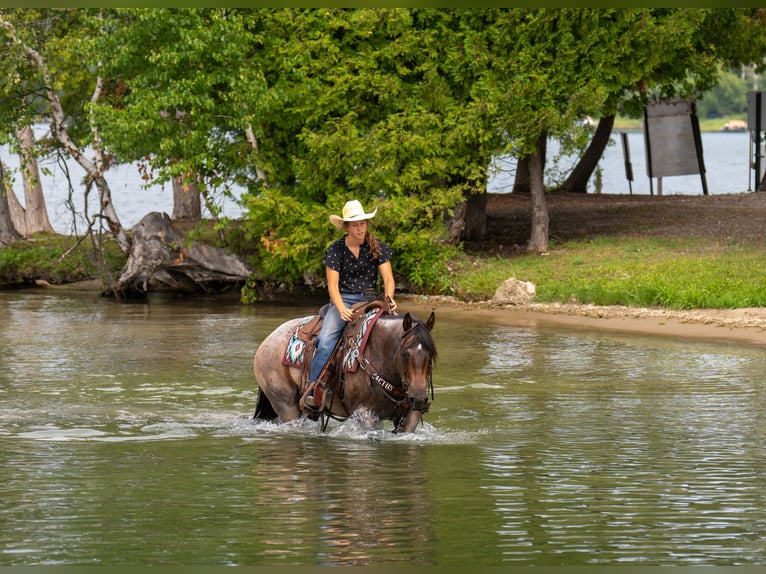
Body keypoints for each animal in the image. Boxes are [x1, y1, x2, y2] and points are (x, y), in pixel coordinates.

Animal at [252, 309, 436, 433]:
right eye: (405, 354)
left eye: (431, 355)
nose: (419, 399)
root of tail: (267, 341)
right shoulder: (364, 414)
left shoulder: (409, 415)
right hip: (286, 406)